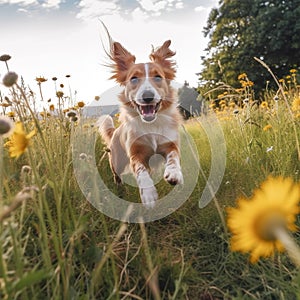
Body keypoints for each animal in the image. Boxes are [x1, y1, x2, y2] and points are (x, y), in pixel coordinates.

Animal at [98, 35, 183, 207]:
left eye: (158, 77)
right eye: (134, 79)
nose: (147, 96)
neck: (151, 125)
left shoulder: (170, 143)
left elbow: (173, 156)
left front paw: (174, 173)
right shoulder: (135, 153)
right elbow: (141, 172)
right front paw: (148, 195)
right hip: (116, 161)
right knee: (117, 176)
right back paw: (120, 190)